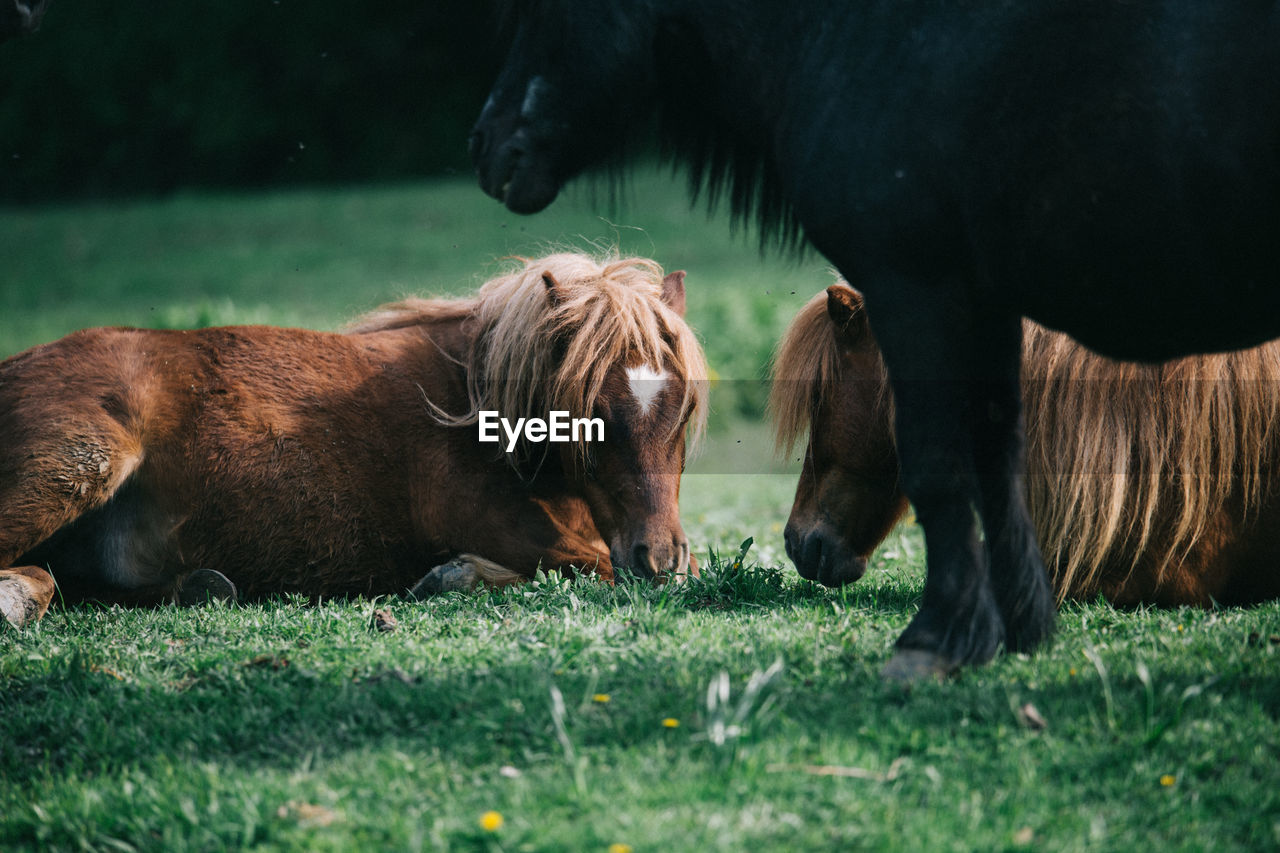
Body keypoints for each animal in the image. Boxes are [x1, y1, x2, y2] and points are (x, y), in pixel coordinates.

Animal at [0, 251, 711, 625]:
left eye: (682, 412)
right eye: (589, 416)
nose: (657, 557)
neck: (475, 408)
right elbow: (586, 569)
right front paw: (454, 576)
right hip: (71, 470)